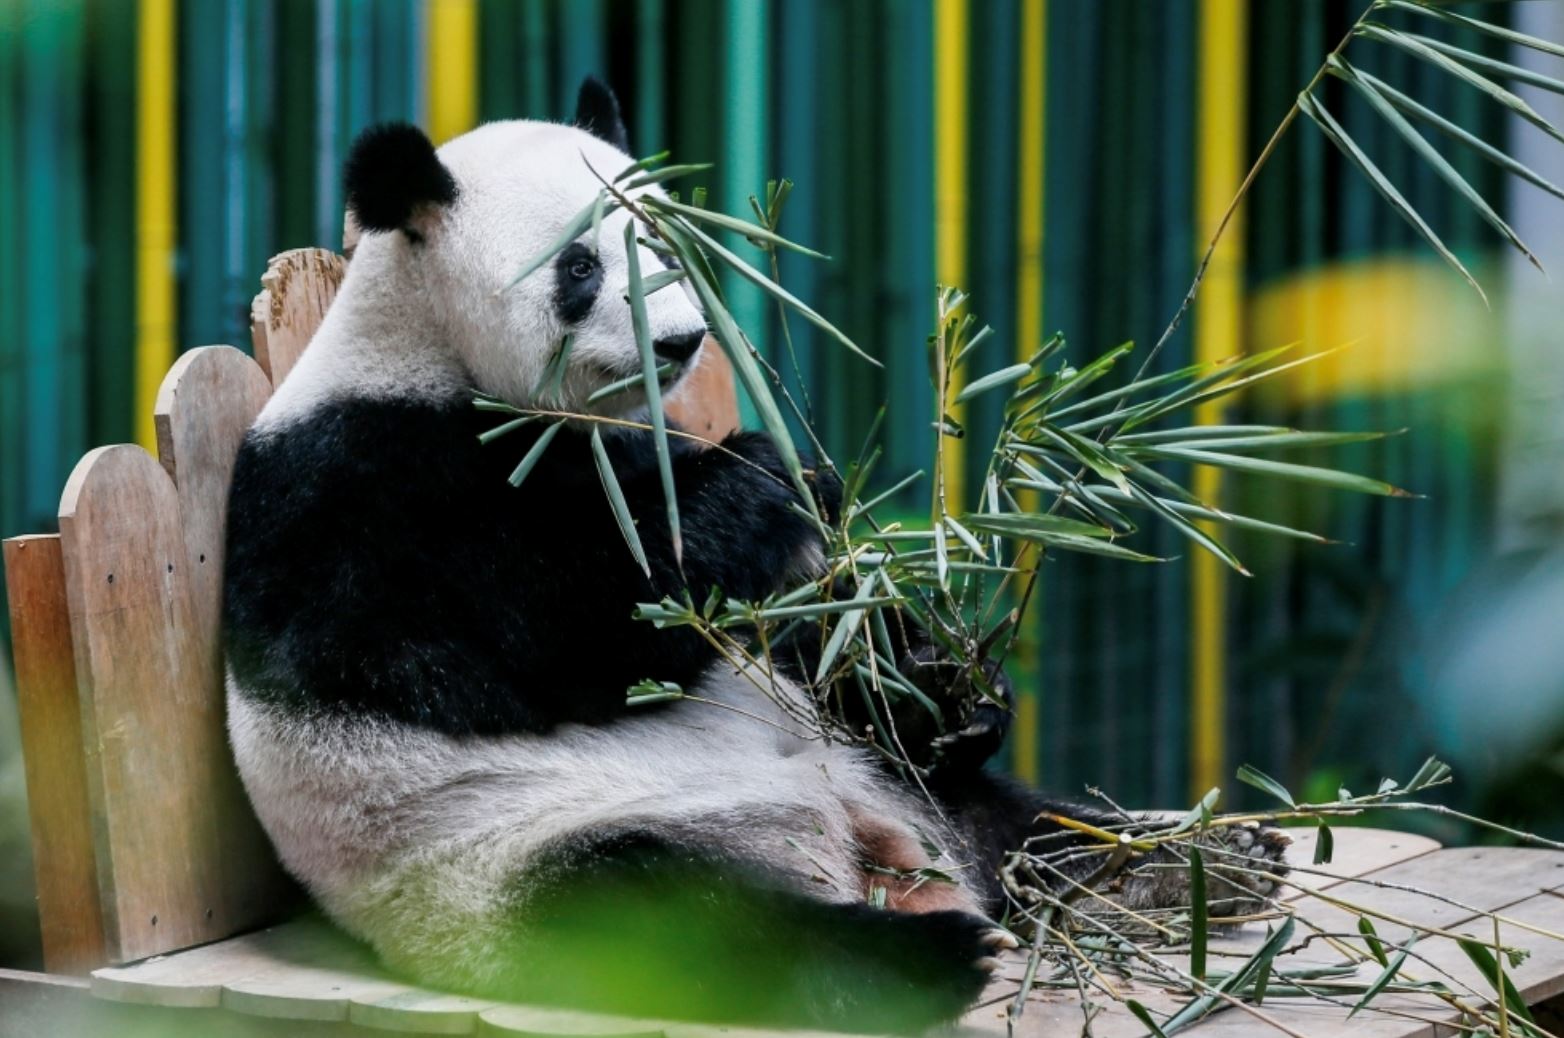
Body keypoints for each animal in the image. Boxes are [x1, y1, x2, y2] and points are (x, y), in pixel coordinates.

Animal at [223, 78, 1290, 1033]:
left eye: (663, 245)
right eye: (581, 268)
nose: (682, 341)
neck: (428, 348)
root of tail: (865, 853)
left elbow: (800, 635)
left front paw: (941, 670)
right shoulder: (350, 490)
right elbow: (526, 640)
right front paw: (770, 477)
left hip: (877, 773)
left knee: (1011, 819)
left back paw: (1183, 865)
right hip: (514, 860)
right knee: (683, 923)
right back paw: (933, 959)